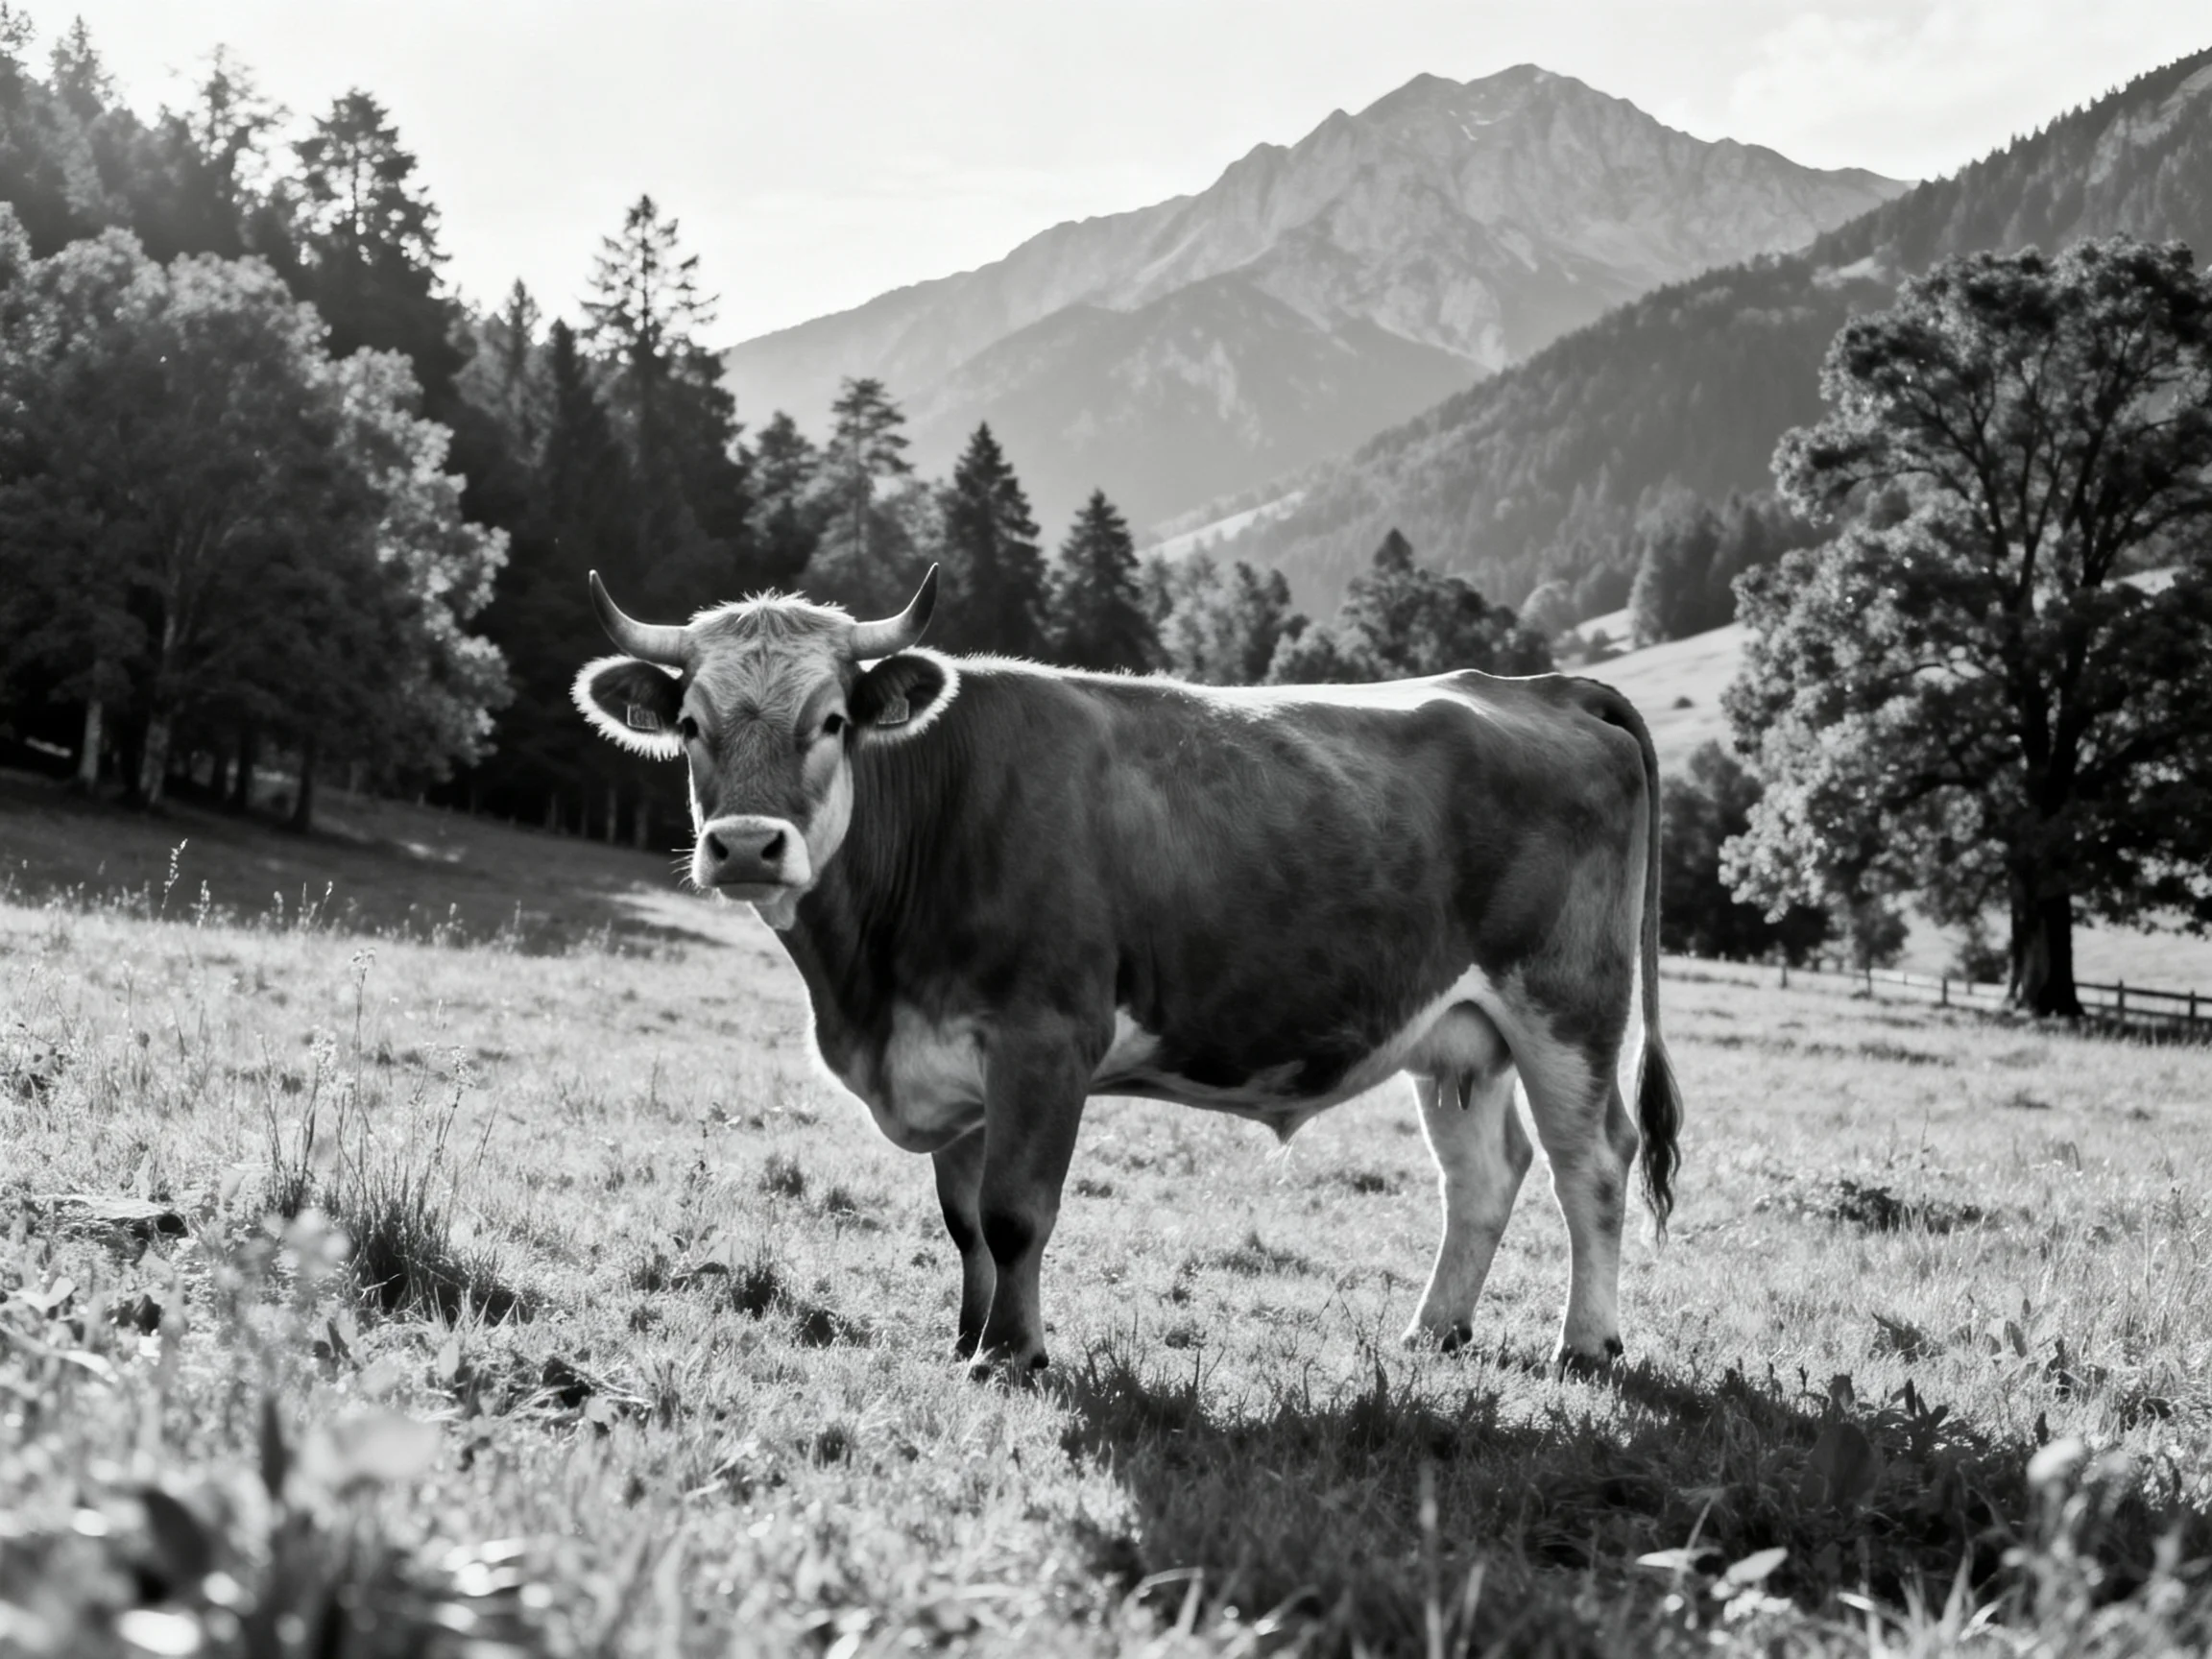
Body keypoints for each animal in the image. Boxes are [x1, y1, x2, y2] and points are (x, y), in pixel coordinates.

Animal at [572, 566, 1681, 1375]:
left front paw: (1014, 1357)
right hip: (1458, 1031)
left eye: (832, 721)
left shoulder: (1046, 1037)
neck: (869, 990)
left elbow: (1016, 1214)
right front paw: (966, 1339)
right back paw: (1433, 1334)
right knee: (1485, 1175)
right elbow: (965, 1224)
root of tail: (1539, 687)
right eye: (691, 725)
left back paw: (1586, 1346)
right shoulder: (948, 1057)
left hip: (1568, 1004)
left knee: (1595, 1163)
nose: (746, 846)